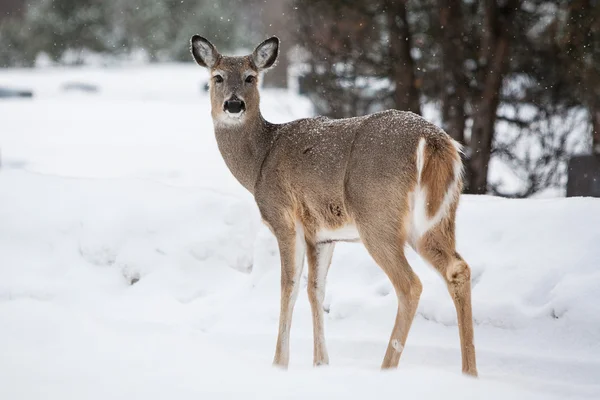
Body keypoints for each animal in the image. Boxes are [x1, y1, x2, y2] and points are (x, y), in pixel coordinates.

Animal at [191, 36, 478, 376]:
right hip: (438, 218)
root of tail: (435, 142)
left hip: (377, 215)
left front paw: (279, 363)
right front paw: (320, 362)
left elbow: (288, 286)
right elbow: (315, 290)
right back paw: (470, 372)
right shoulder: (322, 235)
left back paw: (387, 368)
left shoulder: (284, 218)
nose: (234, 105)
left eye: (251, 77)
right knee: (458, 268)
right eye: (217, 77)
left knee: (410, 285)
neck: (259, 161)